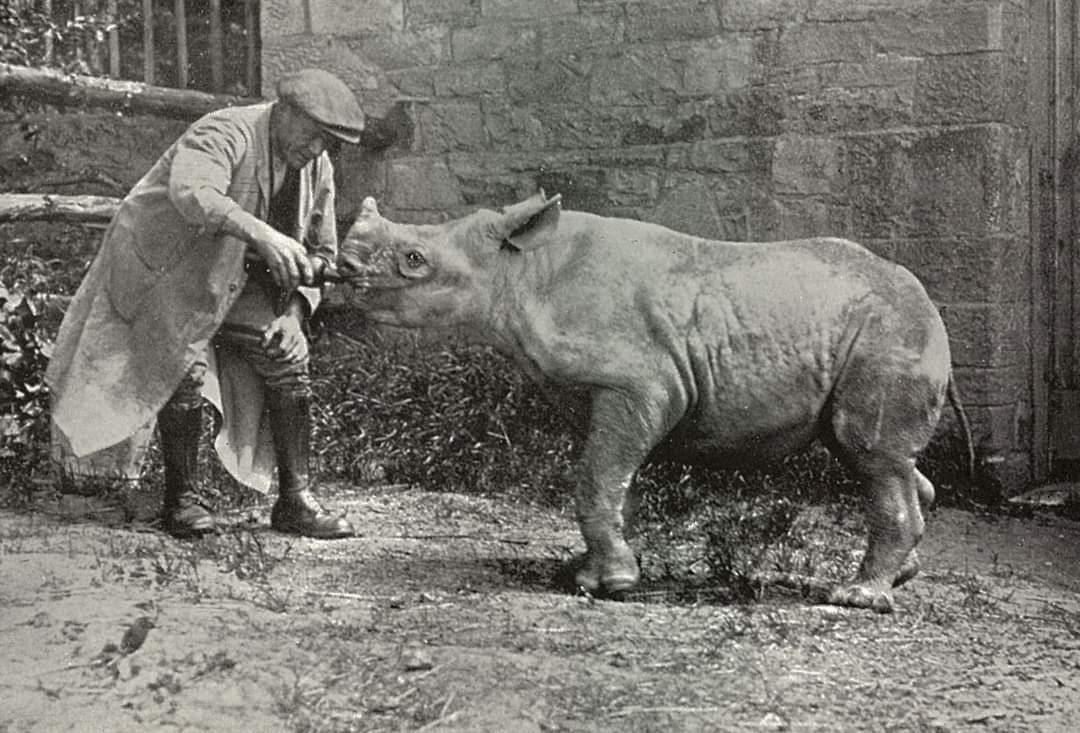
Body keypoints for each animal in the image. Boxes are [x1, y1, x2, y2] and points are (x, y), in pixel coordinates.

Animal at [336, 191, 971, 613]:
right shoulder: (598, 392)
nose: (341, 269)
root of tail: (929, 301)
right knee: (870, 455)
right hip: (876, 334)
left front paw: (614, 584)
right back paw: (902, 575)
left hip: (889, 331)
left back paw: (858, 598)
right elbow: (607, 480)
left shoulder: (639, 382)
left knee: (871, 456)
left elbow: (597, 479)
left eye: (414, 260)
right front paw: (588, 575)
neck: (519, 268)